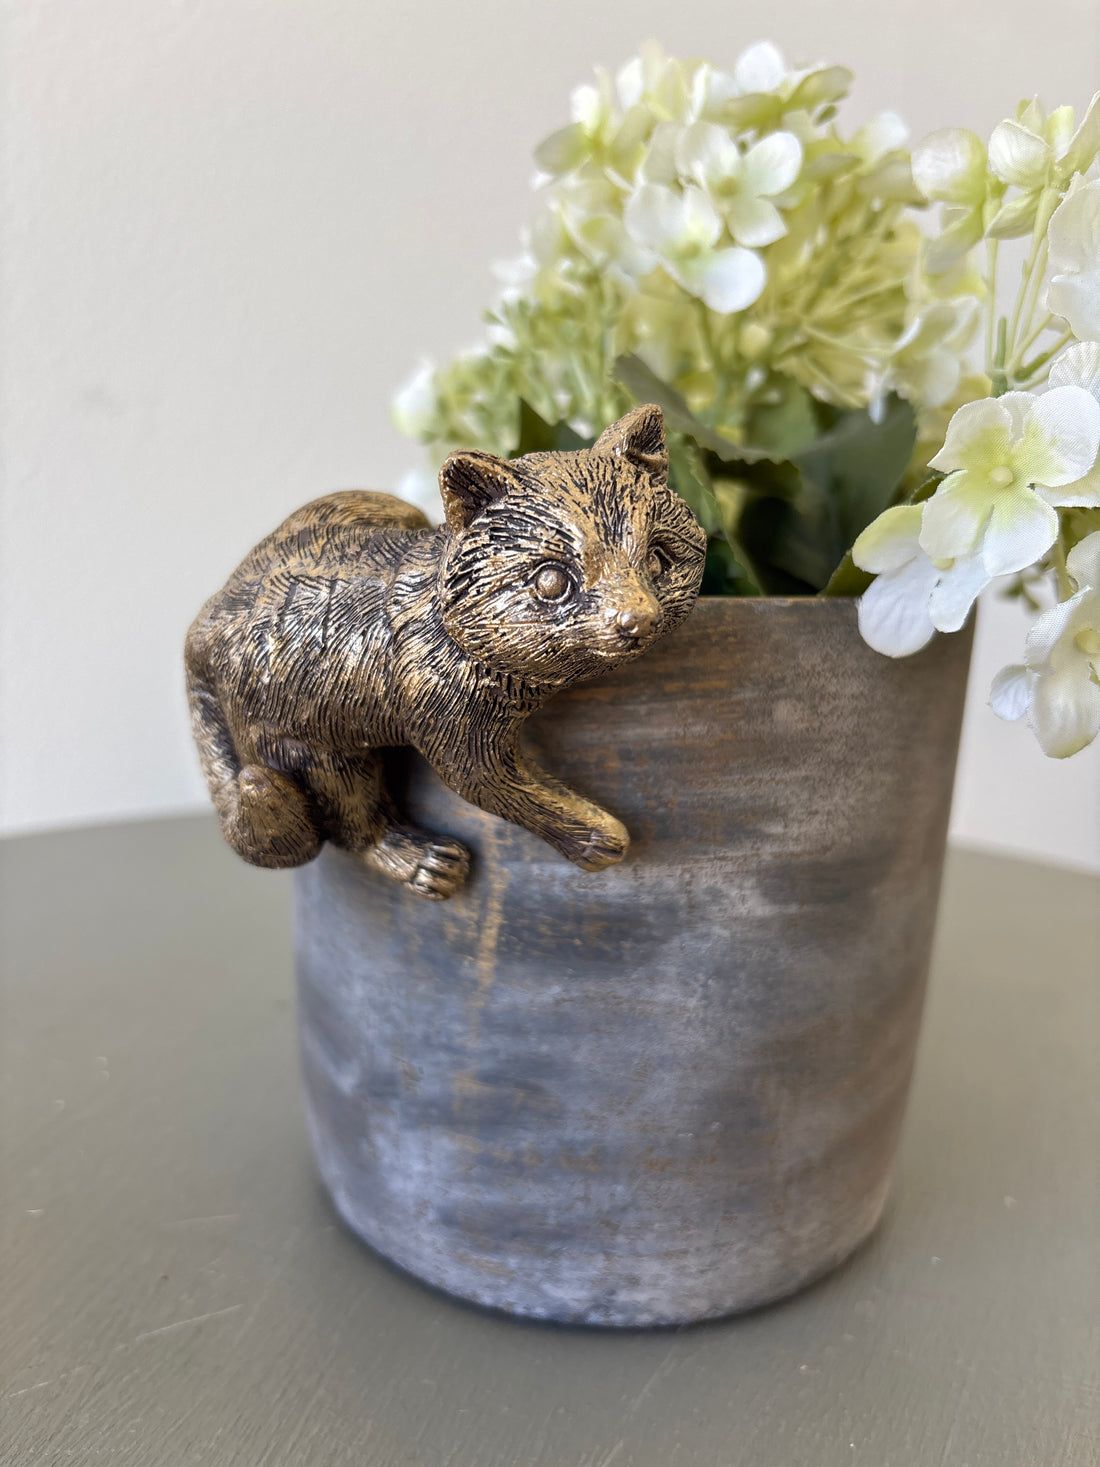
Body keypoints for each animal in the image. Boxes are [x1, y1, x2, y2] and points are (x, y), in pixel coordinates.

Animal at [185, 404, 705, 899]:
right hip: (308, 750)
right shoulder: (453, 728)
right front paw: (598, 839)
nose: (639, 619)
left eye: (657, 560)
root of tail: (208, 618)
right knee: (355, 828)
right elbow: (508, 790)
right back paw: (423, 862)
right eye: (552, 582)